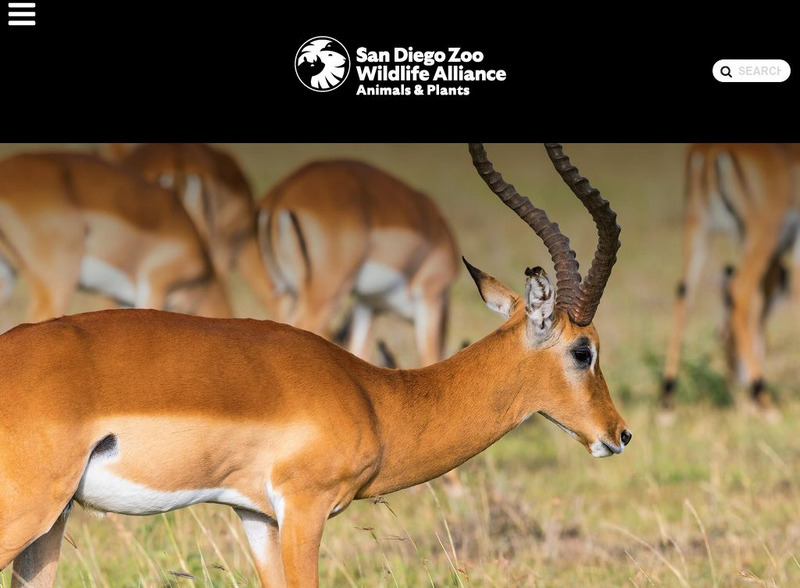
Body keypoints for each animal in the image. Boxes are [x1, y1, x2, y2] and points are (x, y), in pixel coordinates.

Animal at [257, 159, 460, 366]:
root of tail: (284, 191)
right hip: (326, 295)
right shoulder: (430, 298)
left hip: (288, 293)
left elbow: (360, 352)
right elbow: (429, 358)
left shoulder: (366, 303)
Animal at [662, 143, 800, 411]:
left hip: (698, 228)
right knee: (740, 291)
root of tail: (710, 150)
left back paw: (667, 400)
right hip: (761, 233)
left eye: (721, 334)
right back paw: (761, 395)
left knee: (684, 293)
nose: (734, 376)